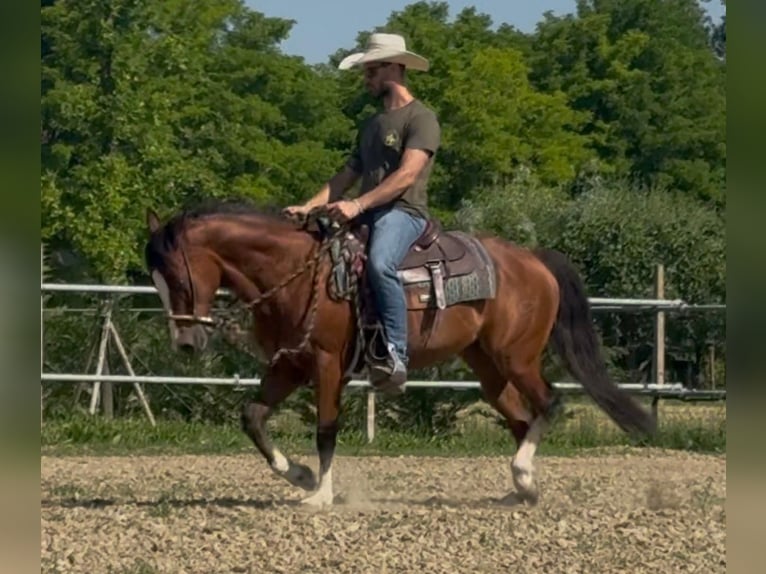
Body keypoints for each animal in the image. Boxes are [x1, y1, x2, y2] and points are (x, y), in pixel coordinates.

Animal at [143, 200, 656, 507]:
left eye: (179, 278)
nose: (186, 343)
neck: (298, 273)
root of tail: (532, 258)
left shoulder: (328, 365)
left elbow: (326, 430)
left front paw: (320, 495)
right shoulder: (289, 364)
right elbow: (252, 417)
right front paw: (301, 476)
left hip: (517, 358)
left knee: (549, 403)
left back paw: (523, 473)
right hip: (488, 367)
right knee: (520, 417)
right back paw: (523, 489)